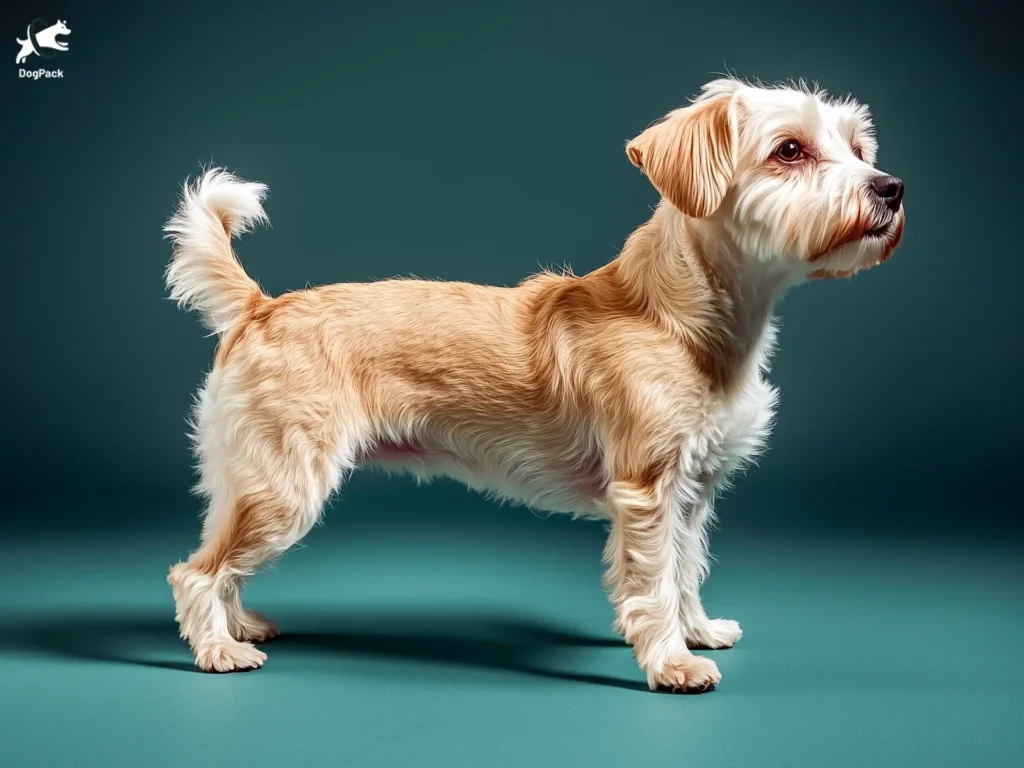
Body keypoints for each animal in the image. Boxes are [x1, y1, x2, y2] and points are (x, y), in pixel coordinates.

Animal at [165, 76, 905, 692]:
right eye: (790, 150)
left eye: (857, 146)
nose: (891, 187)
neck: (678, 316)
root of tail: (261, 307)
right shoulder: (648, 492)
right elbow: (654, 581)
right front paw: (671, 662)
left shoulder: (692, 493)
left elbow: (686, 569)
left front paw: (696, 631)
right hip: (284, 485)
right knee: (194, 572)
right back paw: (218, 650)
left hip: (246, 478)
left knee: (217, 553)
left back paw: (239, 624)